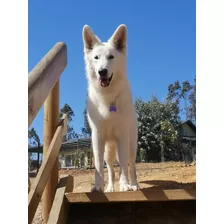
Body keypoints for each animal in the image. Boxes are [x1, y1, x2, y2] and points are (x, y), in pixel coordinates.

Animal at [82, 24, 139, 192]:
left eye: (111, 57)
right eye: (96, 58)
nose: (102, 72)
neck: (108, 97)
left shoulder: (122, 136)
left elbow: (124, 167)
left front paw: (125, 185)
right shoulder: (97, 137)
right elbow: (99, 166)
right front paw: (98, 186)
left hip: (130, 145)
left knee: (131, 165)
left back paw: (134, 185)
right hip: (109, 150)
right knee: (110, 168)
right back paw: (110, 188)